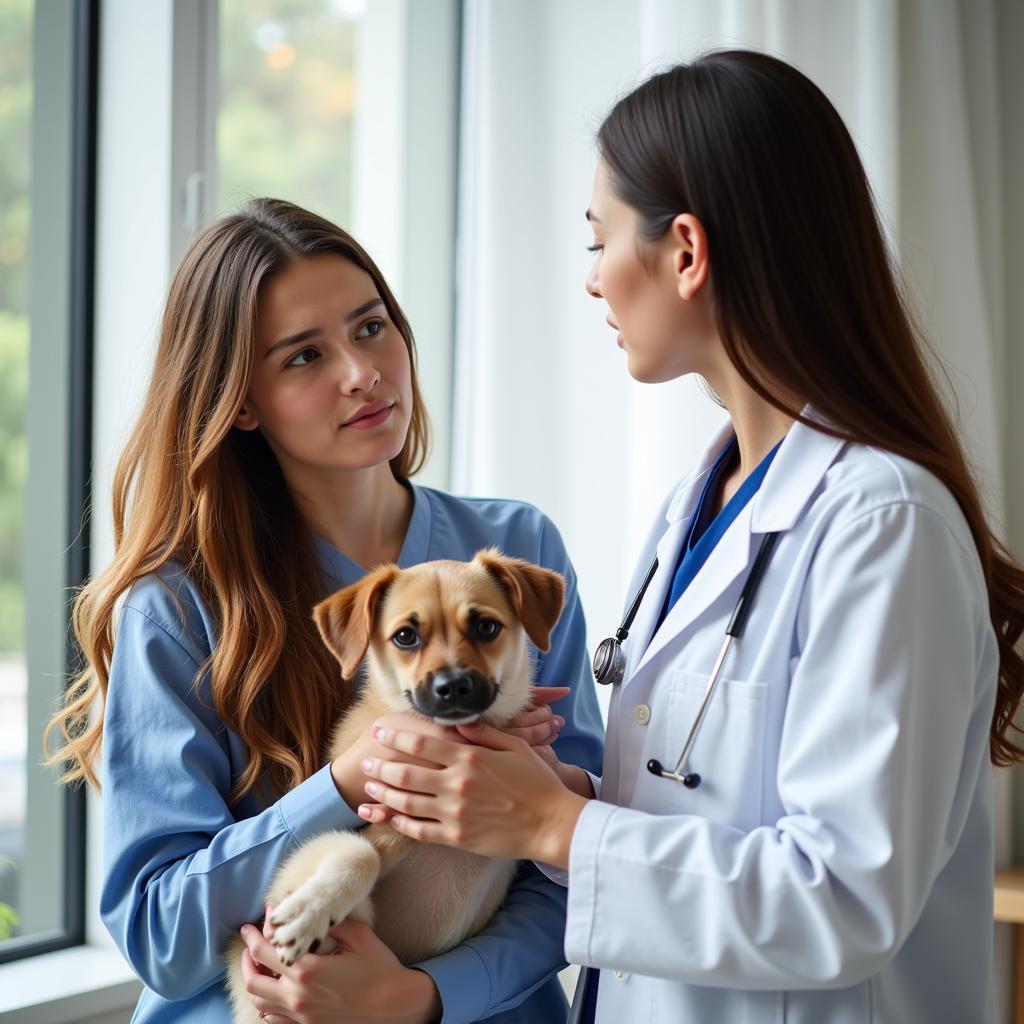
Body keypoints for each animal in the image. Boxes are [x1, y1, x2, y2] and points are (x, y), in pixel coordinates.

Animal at [226, 548, 569, 1019]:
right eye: (405, 636)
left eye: (486, 627)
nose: (453, 686)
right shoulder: (289, 885)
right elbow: (360, 850)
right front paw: (312, 911)